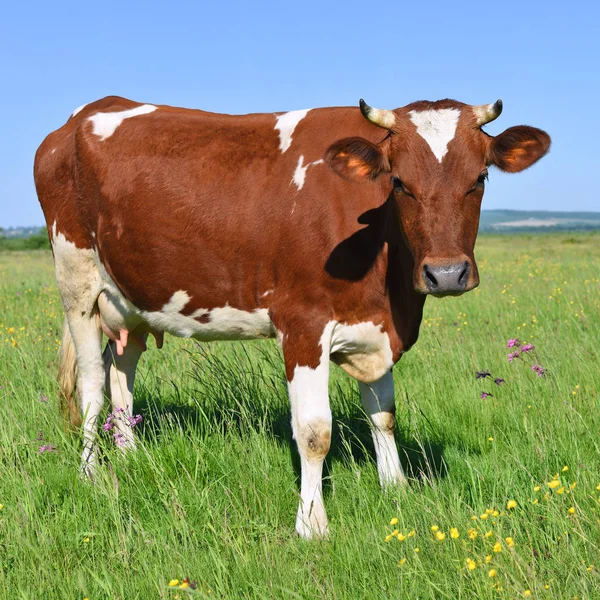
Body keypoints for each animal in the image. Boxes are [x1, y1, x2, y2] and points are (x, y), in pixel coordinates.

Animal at [31, 95, 548, 540]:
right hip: (76, 281)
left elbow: (383, 416)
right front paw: (312, 523)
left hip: (133, 301)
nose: (446, 274)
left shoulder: (376, 326)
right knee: (92, 381)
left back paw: (130, 456)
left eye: (480, 178)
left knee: (122, 374)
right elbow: (315, 431)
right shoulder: (303, 323)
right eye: (399, 182)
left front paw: (396, 489)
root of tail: (83, 114)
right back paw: (92, 473)